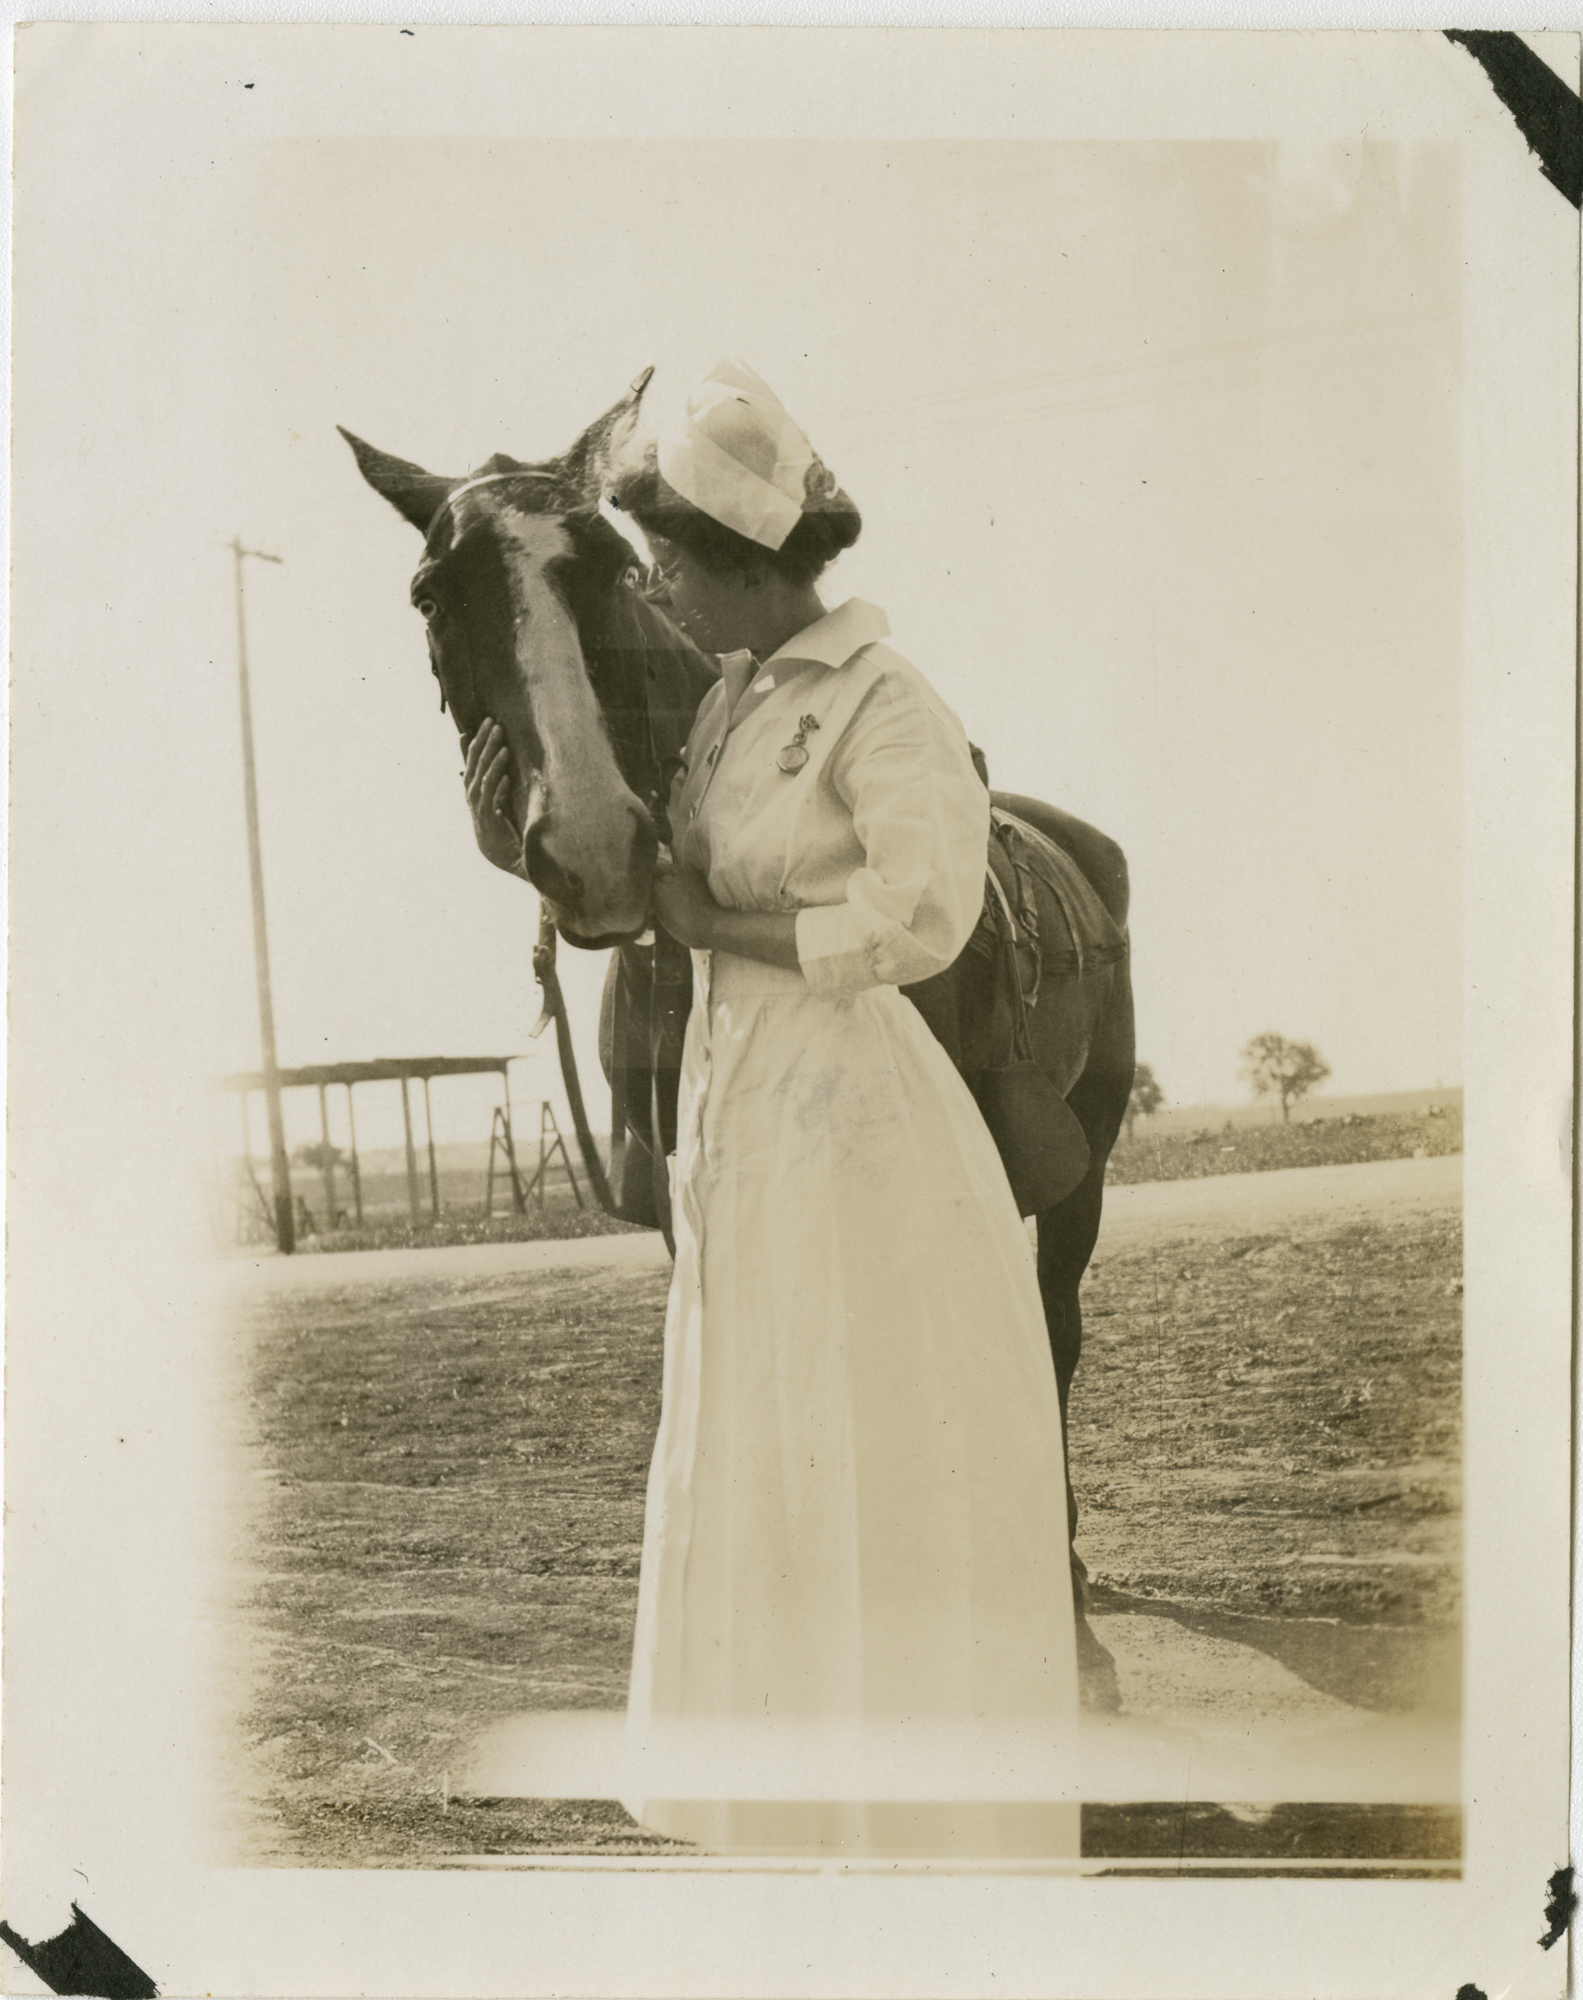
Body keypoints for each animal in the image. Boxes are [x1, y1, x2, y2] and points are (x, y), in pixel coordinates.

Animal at [342, 375, 1136, 1701]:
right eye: (430, 593)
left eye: (612, 565)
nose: (596, 846)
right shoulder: (676, 1198)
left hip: (1083, 1168)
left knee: (1054, 1331)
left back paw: (1060, 1586)